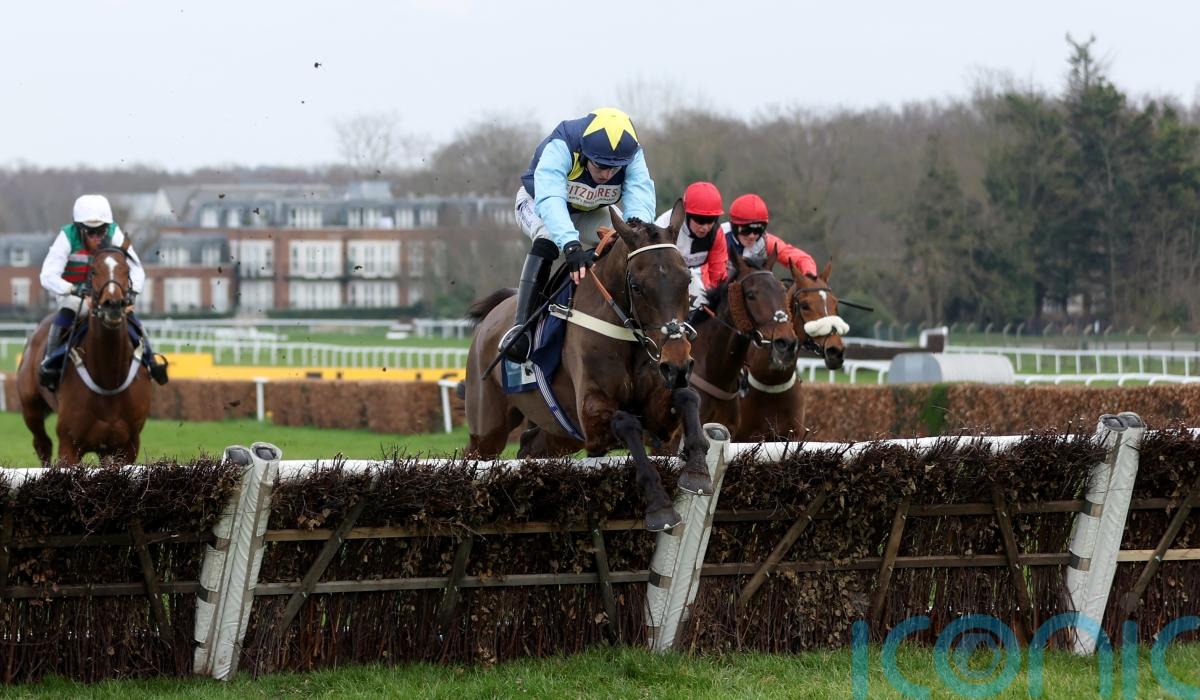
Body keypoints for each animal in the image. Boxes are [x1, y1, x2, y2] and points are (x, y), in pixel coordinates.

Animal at [17, 245, 152, 465]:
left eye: (126, 271)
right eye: (94, 271)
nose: (113, 305)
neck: (109, 380)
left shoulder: (127, 446)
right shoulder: (69, 444)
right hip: (31, 408)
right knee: (42, 444)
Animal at [463, 202, 711, 532]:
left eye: (686, 280)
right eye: (636, 286)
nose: (678, 364)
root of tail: (492, 317)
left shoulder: (659, 414)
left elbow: (687, 397)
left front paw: (698, 471)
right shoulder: (591, 417)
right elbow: (626, 422)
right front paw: (660, 506)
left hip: (561, 433)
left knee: (530, 448)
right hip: (488, 428)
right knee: (473, 456)